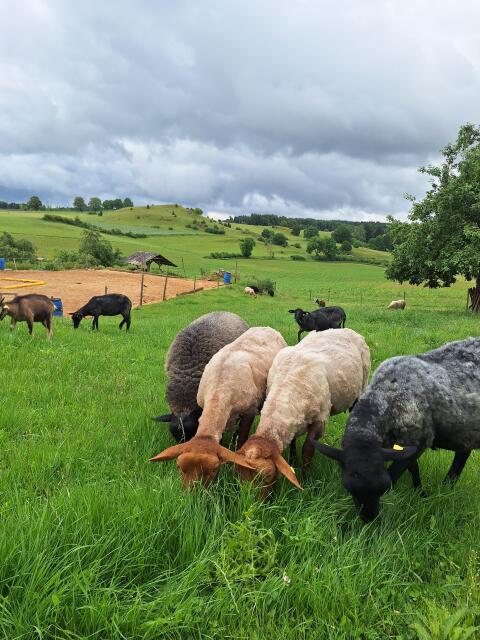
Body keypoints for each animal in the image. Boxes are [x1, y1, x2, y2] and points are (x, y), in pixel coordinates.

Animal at [150, 327, 288, 488]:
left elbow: (241, 438)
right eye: (179, 467)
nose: (193, 494)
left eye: (214, 469)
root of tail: (266, 327)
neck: (219, 390)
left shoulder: (249, 411)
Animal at [235, 329, 371, 493]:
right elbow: (292, 443)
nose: (249, 500)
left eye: (267, 477)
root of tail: (346, 330)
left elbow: (307, 451)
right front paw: (293, 463)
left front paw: (306, 479)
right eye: (238, 474)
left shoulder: (320, 420)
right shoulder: (292, 420)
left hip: (361, 389)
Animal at [311, 337, 480, 522]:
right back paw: (448, 486)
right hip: (464, 429)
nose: (369, 520)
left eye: (383, 489)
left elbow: (396, 472)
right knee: (462, 453)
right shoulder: (404, 442)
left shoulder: (418, 441)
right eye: (349, 488)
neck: (387, 393)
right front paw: (420, 491)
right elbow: (414, 468)